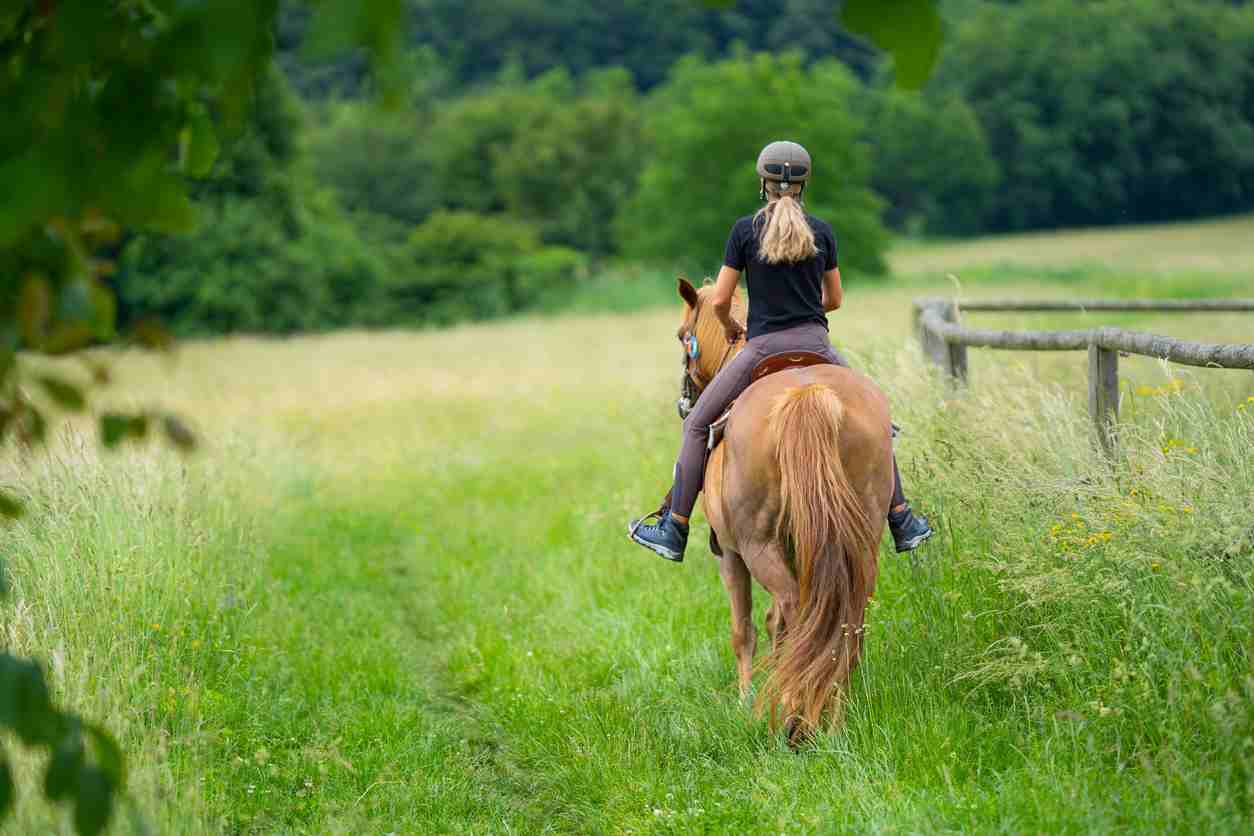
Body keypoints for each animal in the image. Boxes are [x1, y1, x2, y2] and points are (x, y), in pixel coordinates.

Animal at [674, 277, 894, 740]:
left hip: (758, 547)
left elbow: (745, 630)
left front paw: (744, 702)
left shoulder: (730, 555)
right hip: (860, 539)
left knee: (792, 613)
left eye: (683, 335)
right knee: (843, 617)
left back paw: (792, 717)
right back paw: (830, 712)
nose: (684, 403)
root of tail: (807, 395)